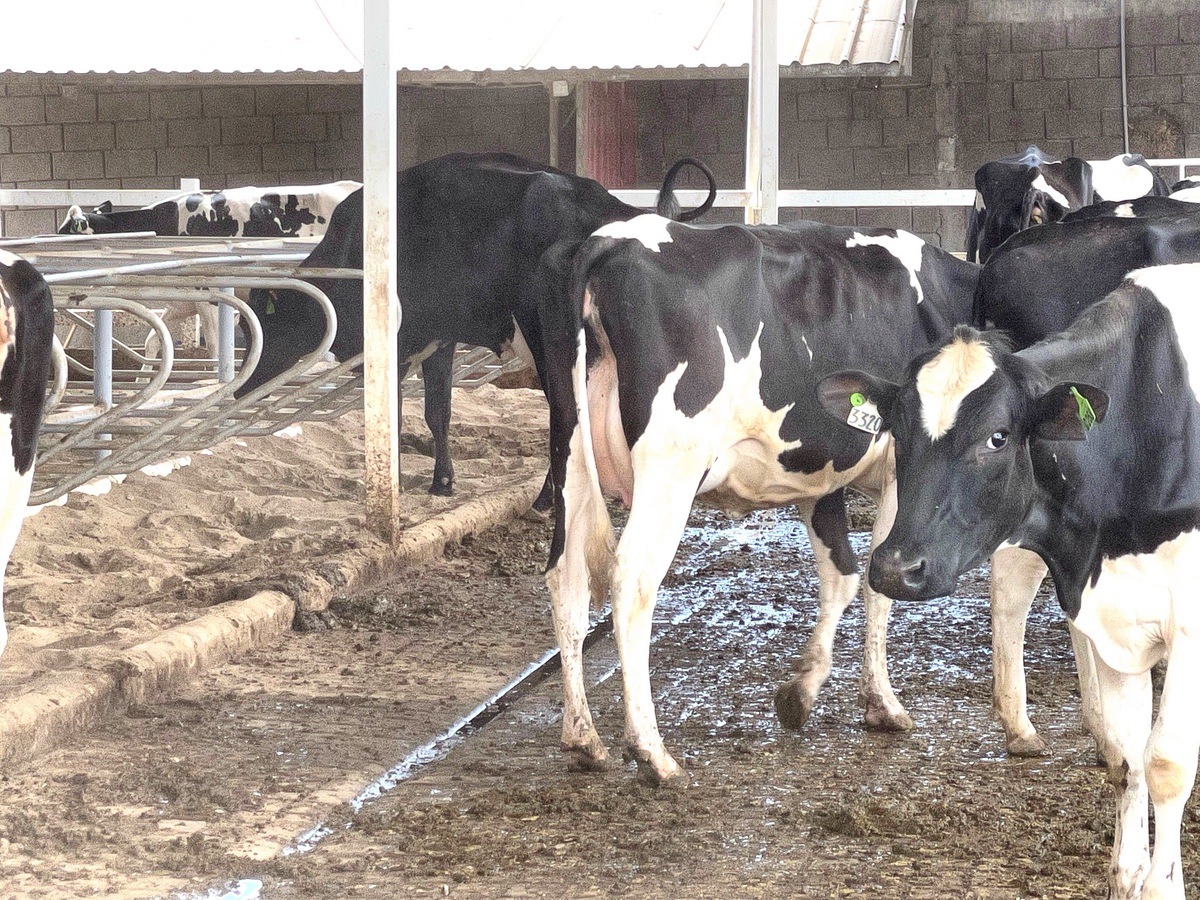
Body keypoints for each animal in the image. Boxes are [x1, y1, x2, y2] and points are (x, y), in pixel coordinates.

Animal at [238, 154, 715, 508]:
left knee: (568, 412)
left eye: (263, 321)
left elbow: (392, 416)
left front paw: (395, 483)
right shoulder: (439, 338)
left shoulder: (396, 345)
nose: (243, 387)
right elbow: (438, 412)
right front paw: (442, 482)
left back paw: (548, 498)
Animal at [544, 214, 974, 787]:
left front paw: (801, 692)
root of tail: (610, 239)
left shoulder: (819, 473)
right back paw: (652, 751)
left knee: (565, 576)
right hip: (670, 464)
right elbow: (880, 581)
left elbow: (841, 574)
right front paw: (883, 702)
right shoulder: (901, 472)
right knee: (632, 578)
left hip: (567, 454)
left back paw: (583, 738)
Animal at [825, 266, 1200, 900]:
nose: (895, 567)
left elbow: (1167, 764)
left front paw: (1161, 885)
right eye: (897, 429)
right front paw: (1127, 876)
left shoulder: (1189, 623)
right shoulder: (1111, 614)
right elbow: (1128, 756)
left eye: (998, 436)